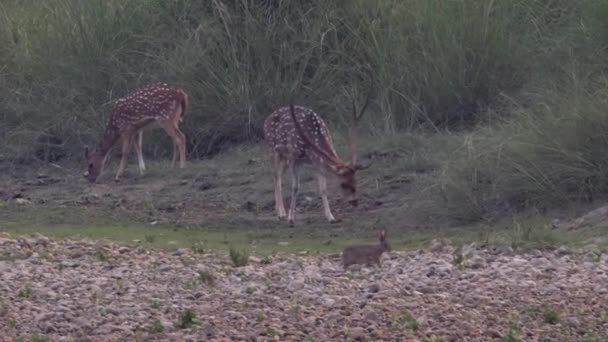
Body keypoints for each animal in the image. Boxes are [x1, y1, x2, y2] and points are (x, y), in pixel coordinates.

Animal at [262, 92, 370, 224]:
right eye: (343, 184)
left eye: (355, 180)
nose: (354, 201)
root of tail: (267, 119)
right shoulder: (294, 158)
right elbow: (295, 187)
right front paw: (291, 218)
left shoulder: (317, 164)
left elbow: (323, 189)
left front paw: (331, 217)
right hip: (273, 150)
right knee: (275, 175)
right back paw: (281, 214)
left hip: (284, 157)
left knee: (278, 176)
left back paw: (279, 211)